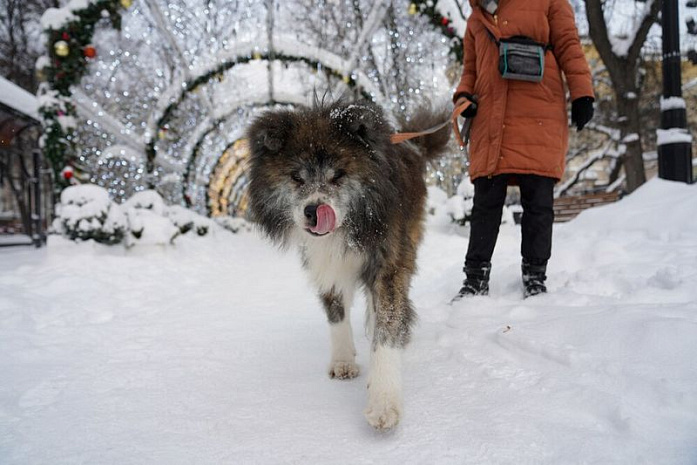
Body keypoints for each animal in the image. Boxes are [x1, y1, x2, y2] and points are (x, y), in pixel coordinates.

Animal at [247, 99, 448, 430]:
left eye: (338, 175)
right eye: (297, 177)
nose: (314, 211)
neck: (350, 226)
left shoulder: (389, 264)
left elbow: (387, 328)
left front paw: (383, 400)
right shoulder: (325, 263)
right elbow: (336, 314)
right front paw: (342, 360)